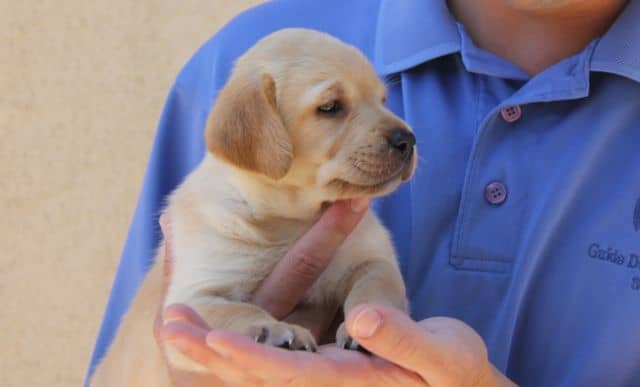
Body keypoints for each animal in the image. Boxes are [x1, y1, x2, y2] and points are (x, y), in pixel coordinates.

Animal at [92, 28, 418, 386]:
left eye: (383, 100)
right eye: (331, 107)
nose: (407, 140)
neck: (293, 218)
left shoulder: (370, 258)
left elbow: (376, 286)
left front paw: (369, 322)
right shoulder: (195, 295)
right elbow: (238, 310)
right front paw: (273, 330)